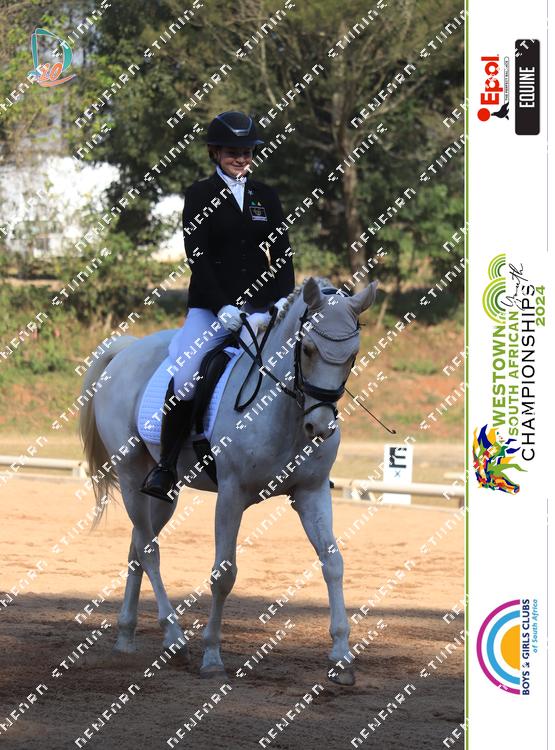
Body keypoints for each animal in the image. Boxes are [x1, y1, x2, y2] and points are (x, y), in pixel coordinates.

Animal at [79, 276, 378, 685]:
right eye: (309, 350)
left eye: (352, 355)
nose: (319, 427)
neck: (283, 412)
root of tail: (127, 350)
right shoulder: (232, 495)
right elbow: (224, 573)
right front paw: (212, 656)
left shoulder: (311, 493)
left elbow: (333, 563)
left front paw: (342, 658)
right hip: (129, 475)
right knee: (149, 550)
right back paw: (175, 639)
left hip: (163, 492)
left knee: (137, 546)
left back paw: (127, 637)